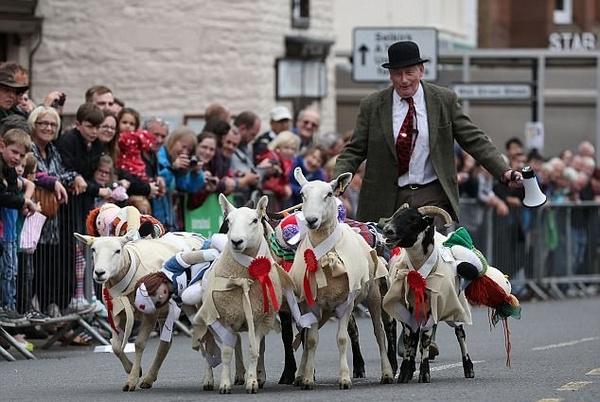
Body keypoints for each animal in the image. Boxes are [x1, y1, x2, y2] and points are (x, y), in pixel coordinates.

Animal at [73, 231, 206, 392]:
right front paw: (132, 369)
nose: (99, 273)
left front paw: (132, 380)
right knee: (165, 344)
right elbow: (116, 346)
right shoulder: (117, 313)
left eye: (117, 251)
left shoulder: (150, 314)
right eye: (93, 249)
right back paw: (149, 378)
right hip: (165, 312)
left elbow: (139, 344)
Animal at [192, 193, 292, 394]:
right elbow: (226, 352)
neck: (244, 276)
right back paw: (209, 379)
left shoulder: (259, 318)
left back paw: (247, 374)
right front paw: (224, 384)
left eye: (255, 220)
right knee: (209, 347)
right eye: (228, 221)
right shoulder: (225, 317)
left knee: (244, 343)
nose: (236, 242)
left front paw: (252, 381)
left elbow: (254, 350)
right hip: (210, 315)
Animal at [288, 167, 394, 390]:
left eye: (329, 194)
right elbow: (311, 340)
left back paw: (387, 373)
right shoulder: (313, 304)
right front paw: (307, 378)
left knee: (379, 332)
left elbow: (342, 338)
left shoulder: (346, 303)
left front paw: (344, 378)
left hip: (373, 295)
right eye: (302, 195)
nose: (311, 220)